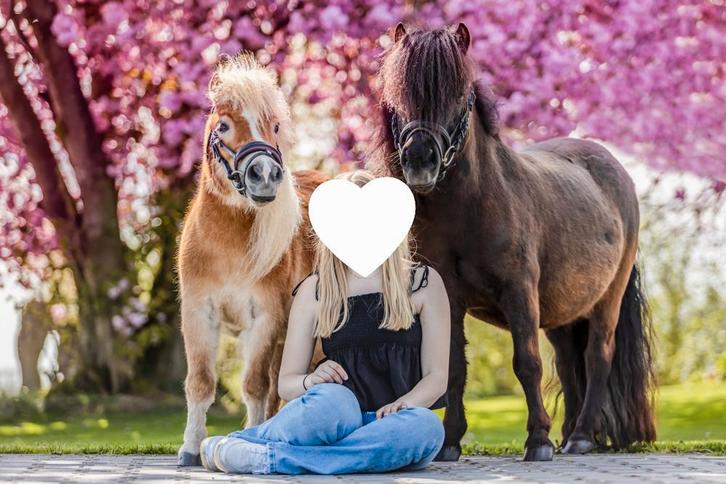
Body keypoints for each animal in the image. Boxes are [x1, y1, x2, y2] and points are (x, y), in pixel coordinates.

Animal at [177, 55, 327, 466]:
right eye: (224, 125)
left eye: (274, 126)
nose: (265, 174)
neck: (226, 245)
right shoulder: (198, 315)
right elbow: (201, 383)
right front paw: (190, 448)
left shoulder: (263, 319)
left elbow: (254, 385)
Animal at [371, 23, 656, 462]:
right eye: (396, 95)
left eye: (459, 94)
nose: (420, 160)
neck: (470, 209)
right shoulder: (450, 298)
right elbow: (454, 367)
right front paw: (450, 441)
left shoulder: (519, 291)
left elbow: (527, 363)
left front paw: (537, 441)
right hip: (563, 310)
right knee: (569, 362)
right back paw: (569, 433)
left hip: (606, 300)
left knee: (597, 357)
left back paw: (581, 437)